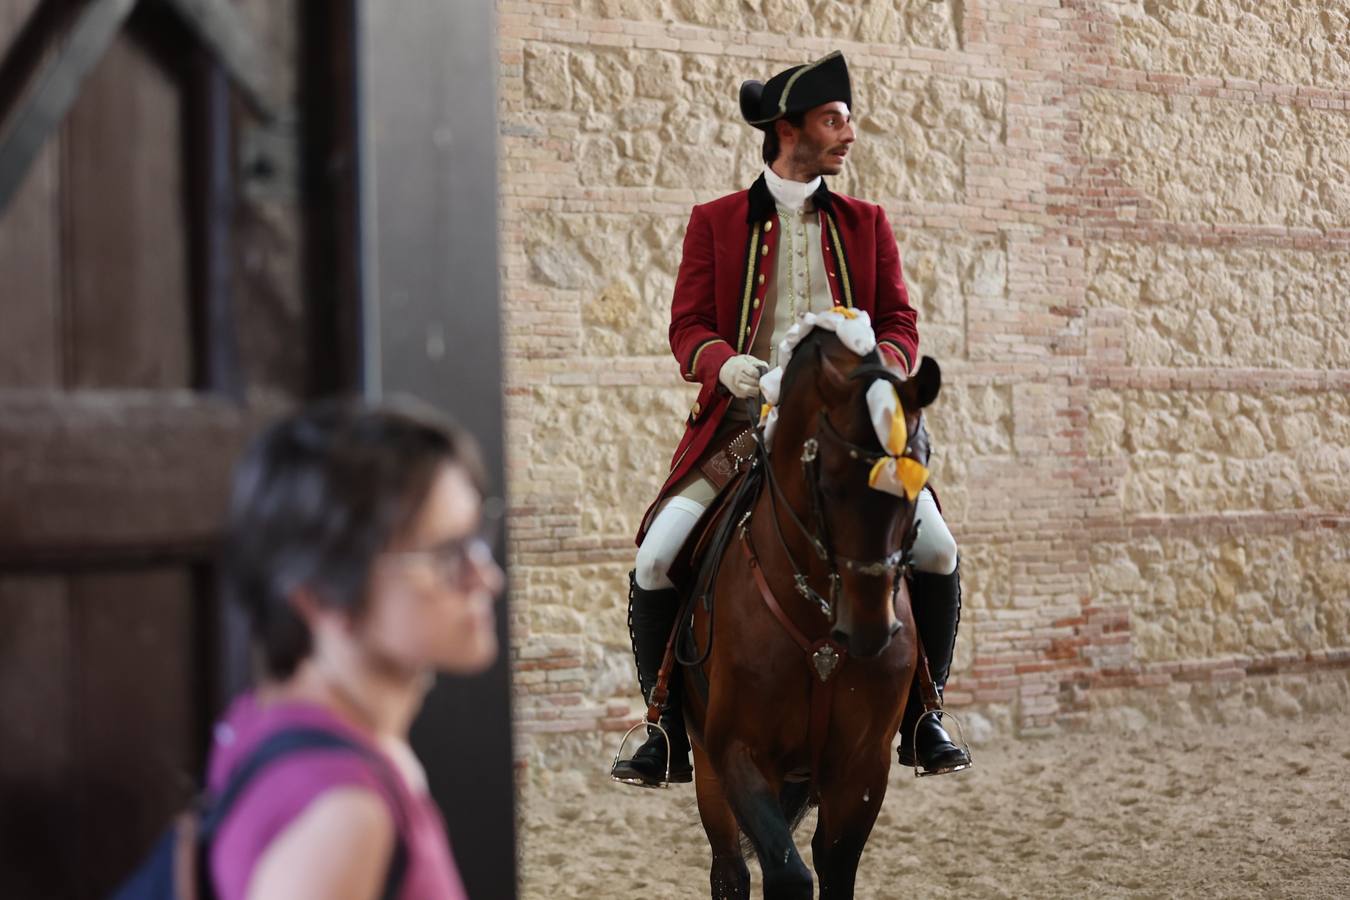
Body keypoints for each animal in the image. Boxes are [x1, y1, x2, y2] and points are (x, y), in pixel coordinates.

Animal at [680, 330, 945, 900]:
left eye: (919, 473)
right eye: (828, 484)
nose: (870, 630)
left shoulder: (863, 766)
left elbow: (834, 866)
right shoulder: (737, 751)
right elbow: (788, 874)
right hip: (706, 764)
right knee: (729, 871)